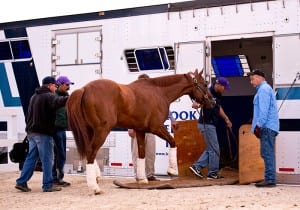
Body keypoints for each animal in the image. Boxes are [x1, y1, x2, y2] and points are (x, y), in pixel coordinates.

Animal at [67, 69, 214, 194]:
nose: (212, 102)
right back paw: (94, 187)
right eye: (205, 84)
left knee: (89, 151)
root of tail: (84, 89)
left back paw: (96, 178)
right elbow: (173, 142)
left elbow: (142, 153)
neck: (158, 92)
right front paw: (172, 170)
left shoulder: (140, 130)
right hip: (102, 130)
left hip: (90, 130)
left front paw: (142, 179)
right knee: (91, 151)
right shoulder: (156, 127)